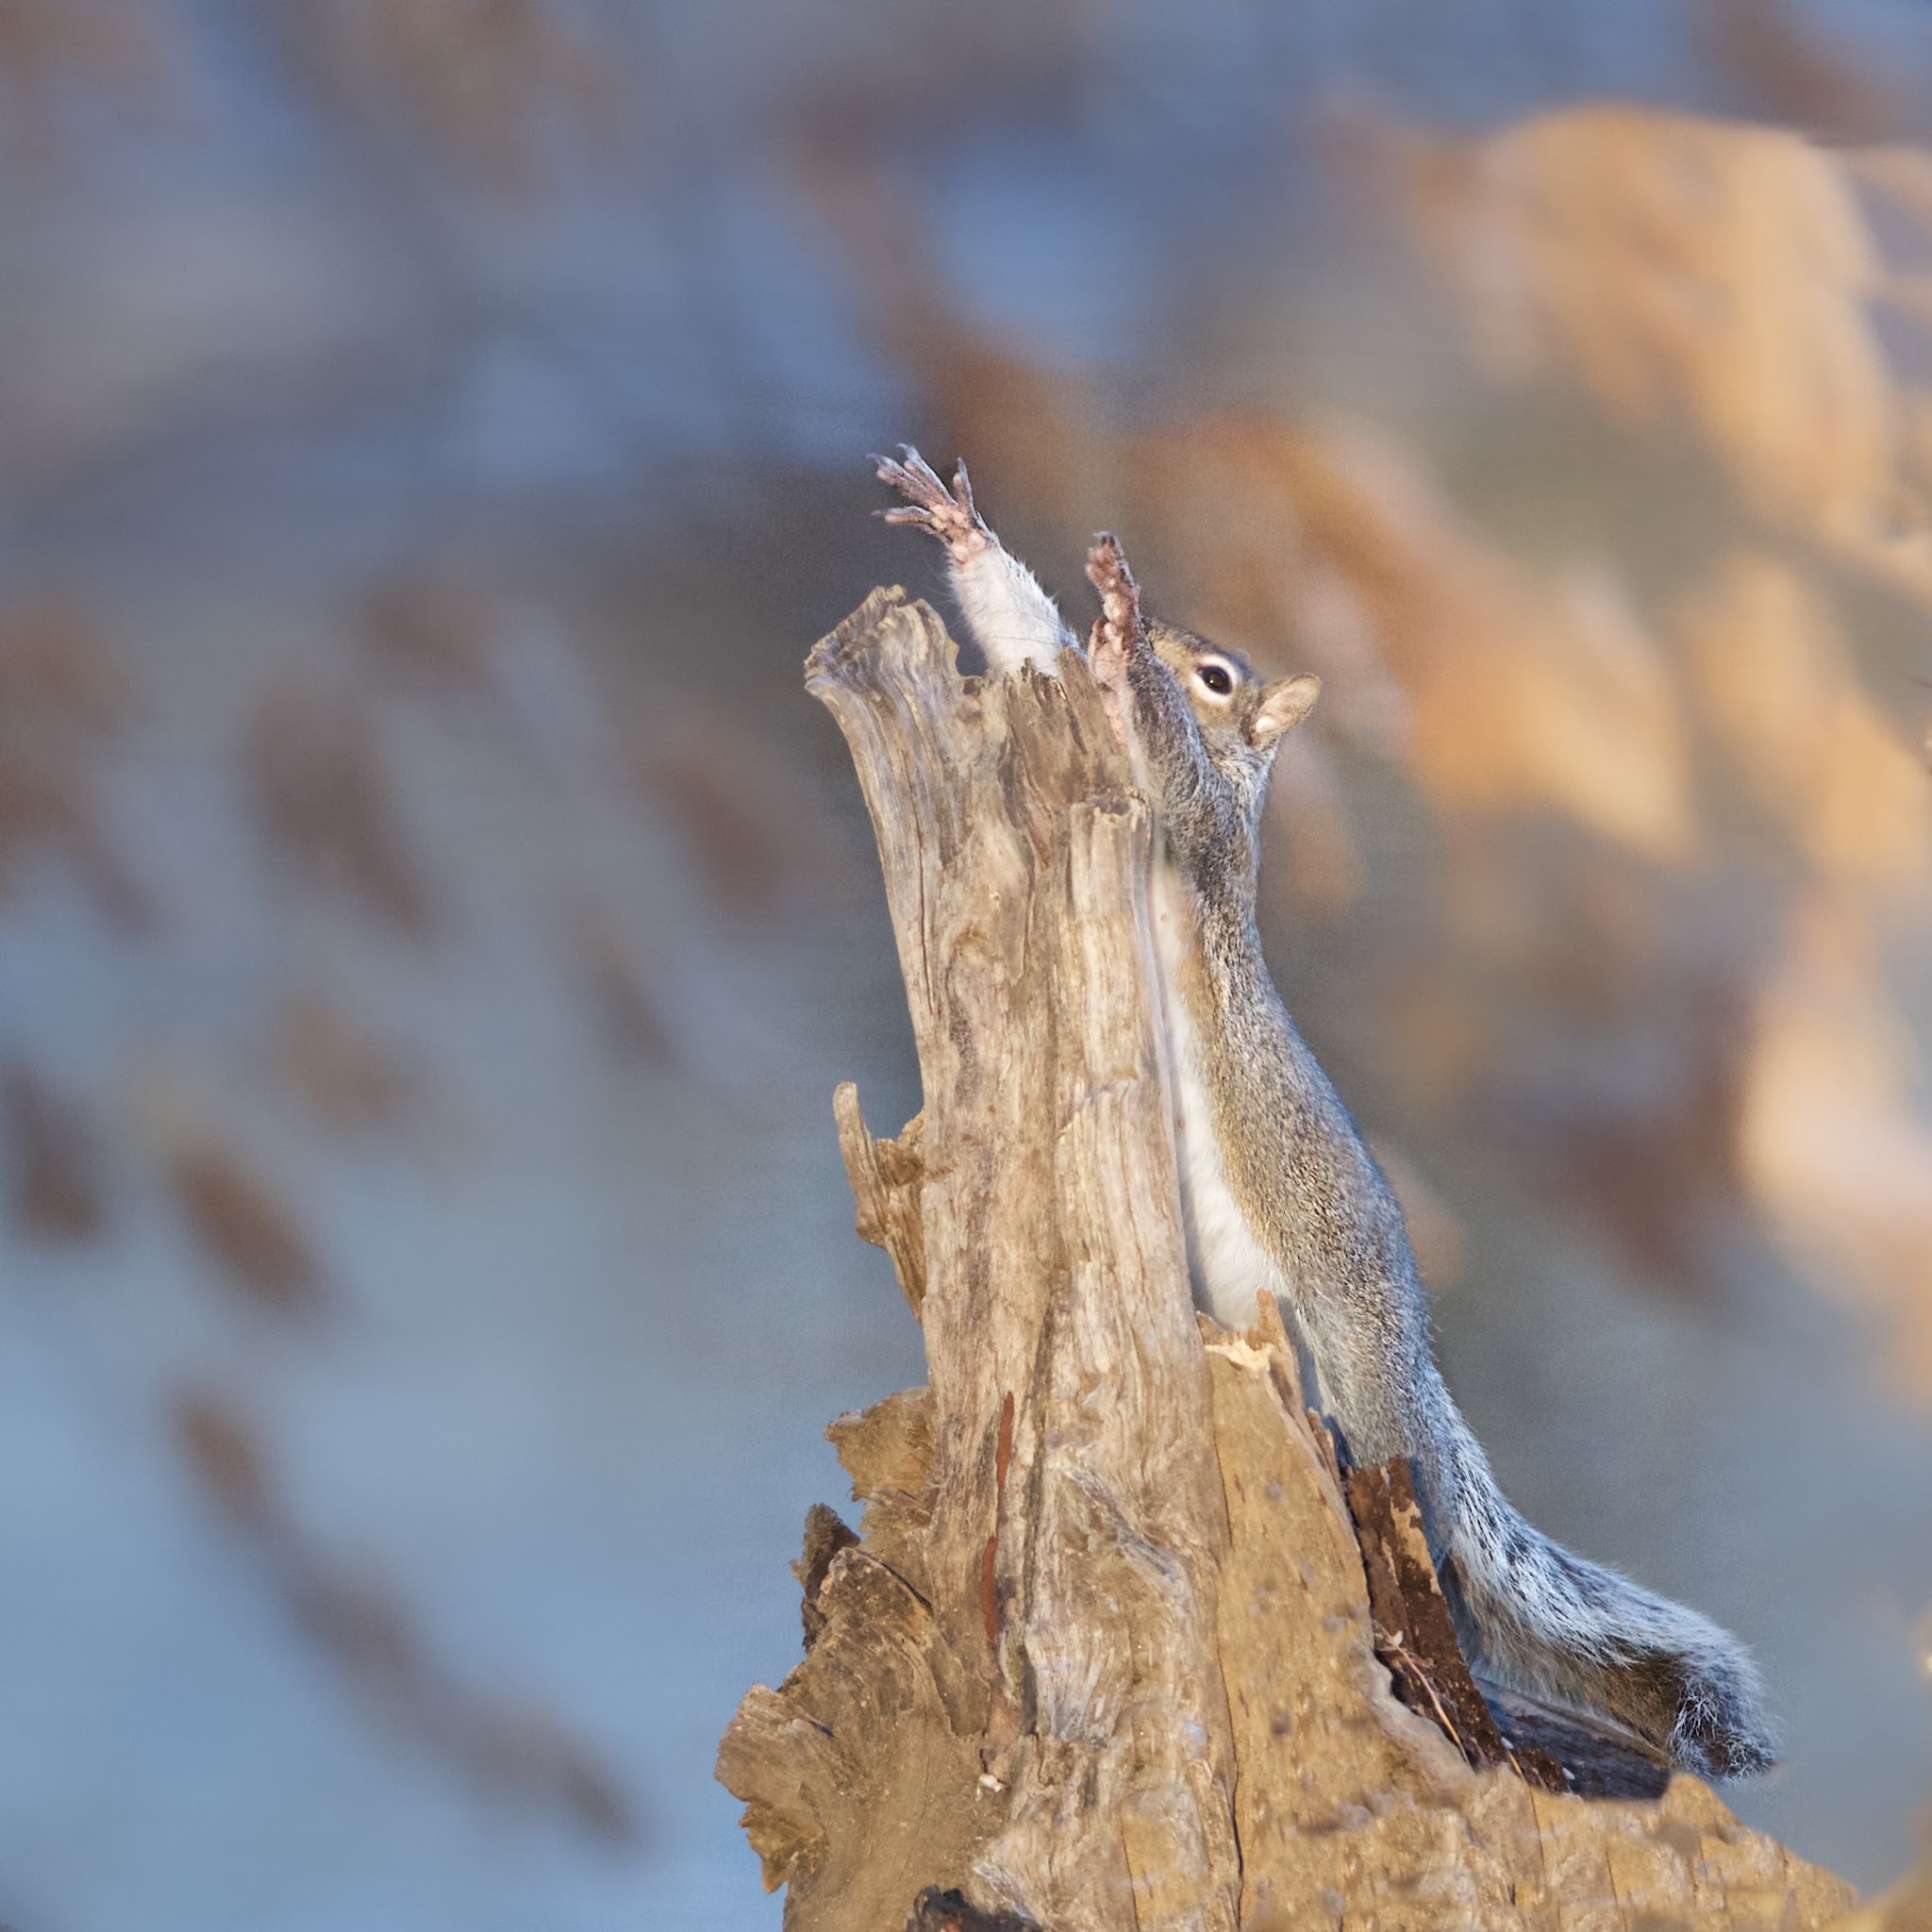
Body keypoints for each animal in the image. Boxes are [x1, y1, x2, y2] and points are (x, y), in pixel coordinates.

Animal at [872, 446, 1777, 1781]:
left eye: (1217, 677)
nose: (1152, 638)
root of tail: (1412, 1357)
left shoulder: (1210, 831)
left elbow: (1184, 779)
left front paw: (1120, 638)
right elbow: (1026, 642)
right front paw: (974, 541)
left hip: (1357, 1385)